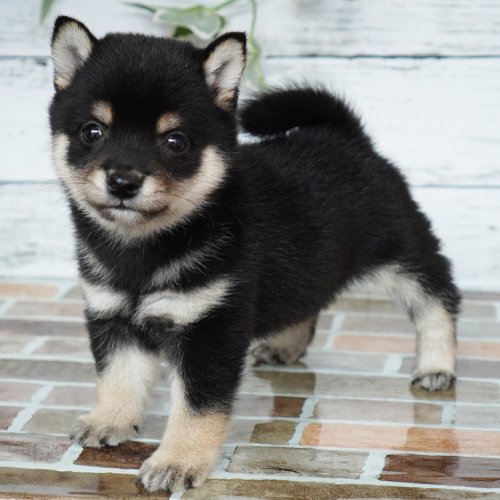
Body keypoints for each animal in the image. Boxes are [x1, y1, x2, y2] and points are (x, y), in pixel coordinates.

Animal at [49, 15, 460, 492]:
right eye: (92, 132)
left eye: (175, 141)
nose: (123, 181)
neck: (145, 248)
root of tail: (347, 136)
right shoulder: (113, 315)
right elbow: (119, 378)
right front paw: (110, 420)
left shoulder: (211, 329)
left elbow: (196, 408)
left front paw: (177, 461)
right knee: (309, 299)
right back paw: (286, 345)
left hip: (401, 255)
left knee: (438, 299)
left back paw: (437, 366)